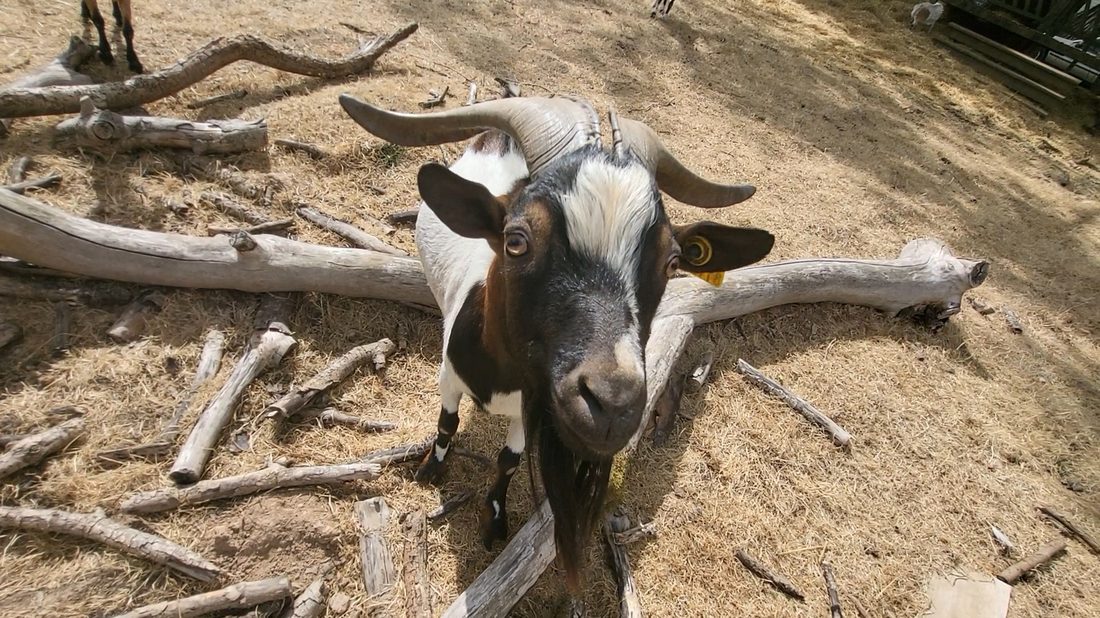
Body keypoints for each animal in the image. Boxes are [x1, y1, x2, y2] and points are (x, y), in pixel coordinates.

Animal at [339, 94, 774, 588]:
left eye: (672, 261)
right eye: (516, 240)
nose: (612, 404)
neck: (501, 377)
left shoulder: (528, 411)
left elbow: (508, 459)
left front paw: (495, 520)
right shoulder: (448, 376)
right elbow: (447, 422)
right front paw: (431, 469)